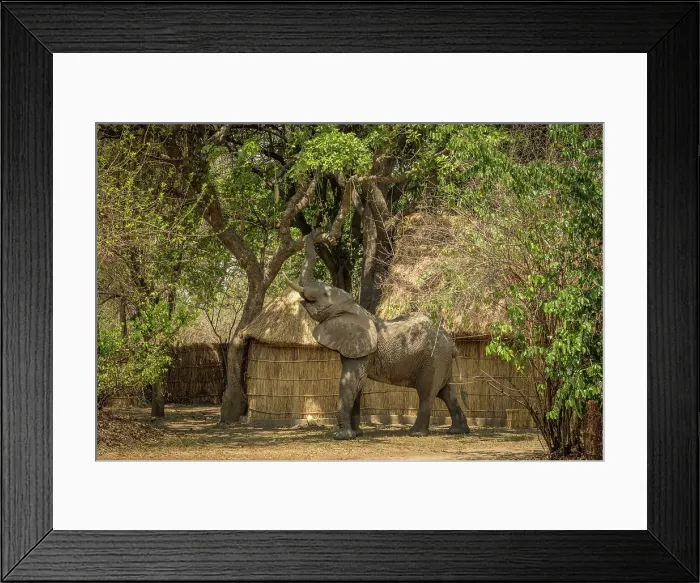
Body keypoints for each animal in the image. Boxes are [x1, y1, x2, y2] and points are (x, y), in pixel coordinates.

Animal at [283, 234, 470, 440]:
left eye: (324, 294)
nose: (313, 234)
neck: (355, 309)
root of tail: (451, 342)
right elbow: (357, 384)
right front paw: (356, 434)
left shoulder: (361, 349)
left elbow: (350, 382)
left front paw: (342, 436)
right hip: (441, 360)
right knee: (447, 392)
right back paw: (458, 431)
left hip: (434, 359)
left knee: (427, 393)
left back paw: (416, 433)